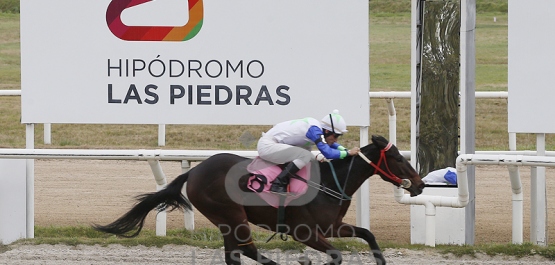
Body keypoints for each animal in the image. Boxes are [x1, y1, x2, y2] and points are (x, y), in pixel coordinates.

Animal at [94, 135, 426, 262]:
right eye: (398, 158)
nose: (420, 184)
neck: (329, 183)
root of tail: (195, 170)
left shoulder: (332, 226)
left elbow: (367, 234)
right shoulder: (304, 231)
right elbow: (336, 255)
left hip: (227, 221)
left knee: (236, 254)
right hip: (231, 216)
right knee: (247, 250)